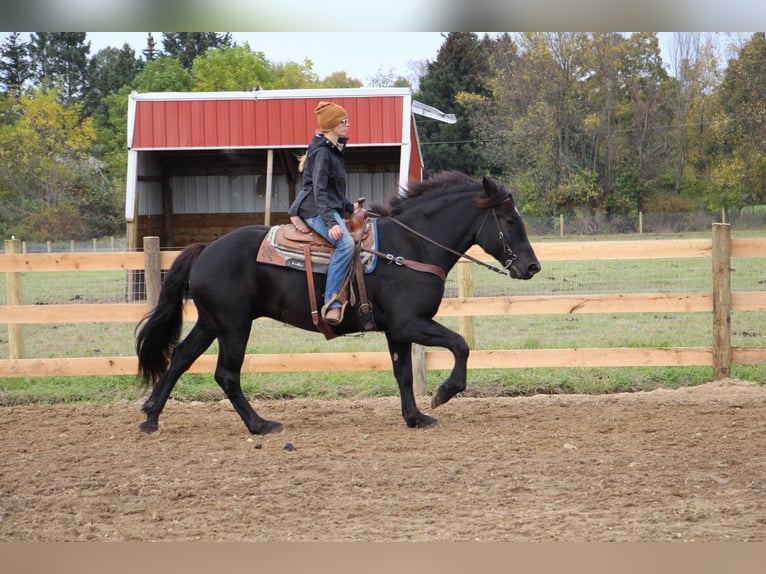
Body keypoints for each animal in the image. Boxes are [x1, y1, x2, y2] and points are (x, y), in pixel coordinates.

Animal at [135, 173, 544, 434]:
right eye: (509, 219)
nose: (532, 266)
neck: (411, 246)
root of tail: (206, 250)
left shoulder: (397, 331)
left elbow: (403, 373)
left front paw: (415, 418)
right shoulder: (411, 322)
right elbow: (460, 345)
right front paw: (444, 393)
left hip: (210, 323)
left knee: (180, 359)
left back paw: (151, 417)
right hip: (234, 326)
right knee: (226, 374)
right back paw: (260, 425)